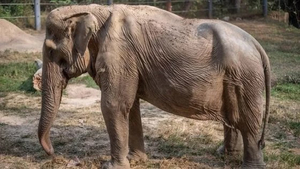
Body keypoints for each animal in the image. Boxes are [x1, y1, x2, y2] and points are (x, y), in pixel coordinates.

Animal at [37, 4, 270, 169]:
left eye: (50, 51)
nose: (53, 153)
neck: (95, 10)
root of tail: (257, 45)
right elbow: (130, 107)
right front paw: (136, 160)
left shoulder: (120, 55)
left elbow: (114, 105)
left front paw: (111, 166)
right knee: (234, 117)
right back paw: (223, 154)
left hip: (246, 76)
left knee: (248, 120)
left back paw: (251, 166)